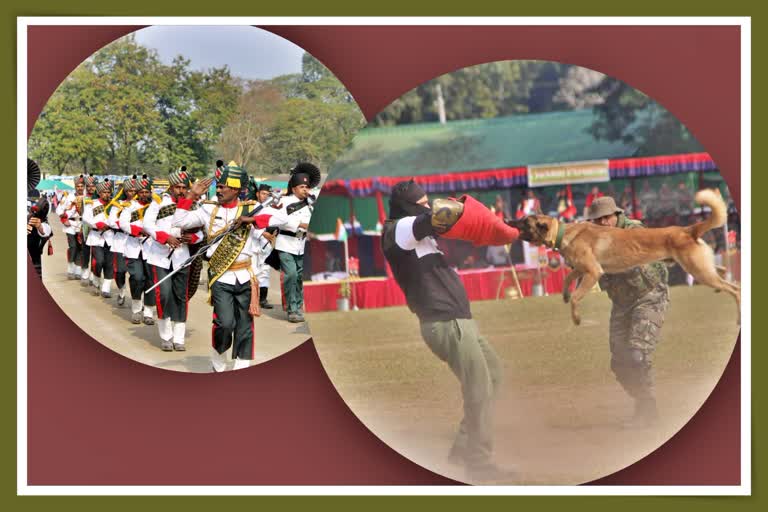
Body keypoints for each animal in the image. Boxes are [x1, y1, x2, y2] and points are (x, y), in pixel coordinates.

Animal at [508, 190, 740, 326]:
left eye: (524, 221)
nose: (508, 220)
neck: (563, 232)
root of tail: (687, 229)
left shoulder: (593, 272)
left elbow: (576, 296)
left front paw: (576, 317)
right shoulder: (582, 269)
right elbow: (567, 280)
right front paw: (564, 294)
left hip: (698, 270)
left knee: (735, 288)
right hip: (700, 268)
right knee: (722, 273)